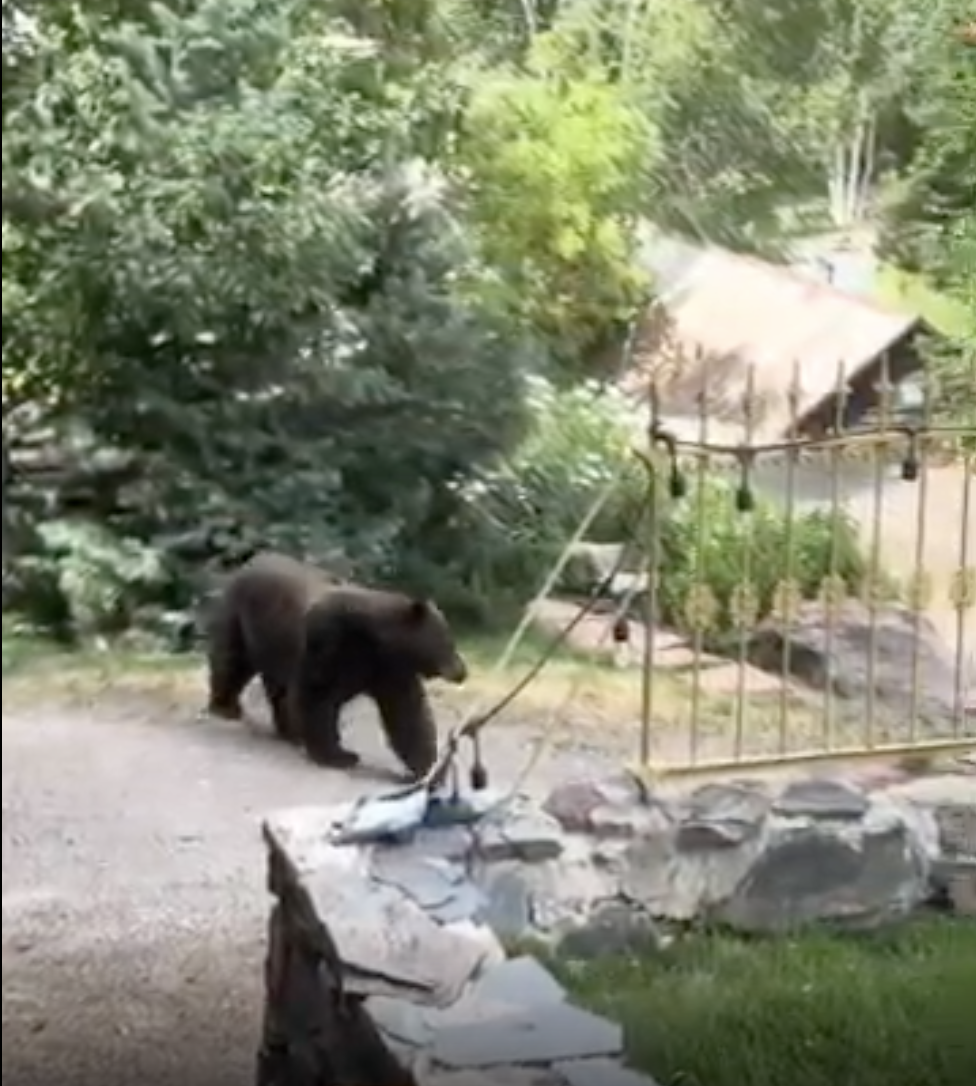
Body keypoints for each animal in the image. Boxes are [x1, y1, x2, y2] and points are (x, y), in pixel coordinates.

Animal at [204, 551, 467, 778]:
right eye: (448, 641)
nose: (462, 671)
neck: (377, 640)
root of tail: (253, 560)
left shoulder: (388, 668)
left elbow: (407, 711)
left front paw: (427, 766)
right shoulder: (328, 642)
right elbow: (316, 696)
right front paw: (338, 756)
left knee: (276, 687)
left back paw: (287, 730)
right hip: (243, 619)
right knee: (232, 660)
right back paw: (226, 707)